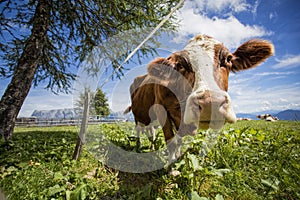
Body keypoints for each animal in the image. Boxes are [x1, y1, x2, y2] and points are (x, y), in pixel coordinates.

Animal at [125, 34, 274, 162]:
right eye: (180, 65)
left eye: (228, 59)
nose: (210, 104)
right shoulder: (162, 111)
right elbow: (171, 141)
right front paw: (171, 167)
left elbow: (179, 140)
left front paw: (177, 158)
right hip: (137, 115)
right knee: (138, 130)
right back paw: (138, 147)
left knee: (151, 132)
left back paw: (151, 147)